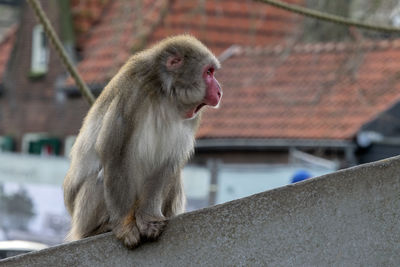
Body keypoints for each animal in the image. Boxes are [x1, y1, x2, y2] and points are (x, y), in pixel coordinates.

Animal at [62, 35, 222, 249]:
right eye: (209, 72)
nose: (219, 90)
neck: (164, 93)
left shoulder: (192, 116)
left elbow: (166, 163)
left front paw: (149, 218)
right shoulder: (131, 94)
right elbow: (114, 153)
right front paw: (124, 225)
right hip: (83, 217)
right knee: (100, 178)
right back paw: (98, 229)